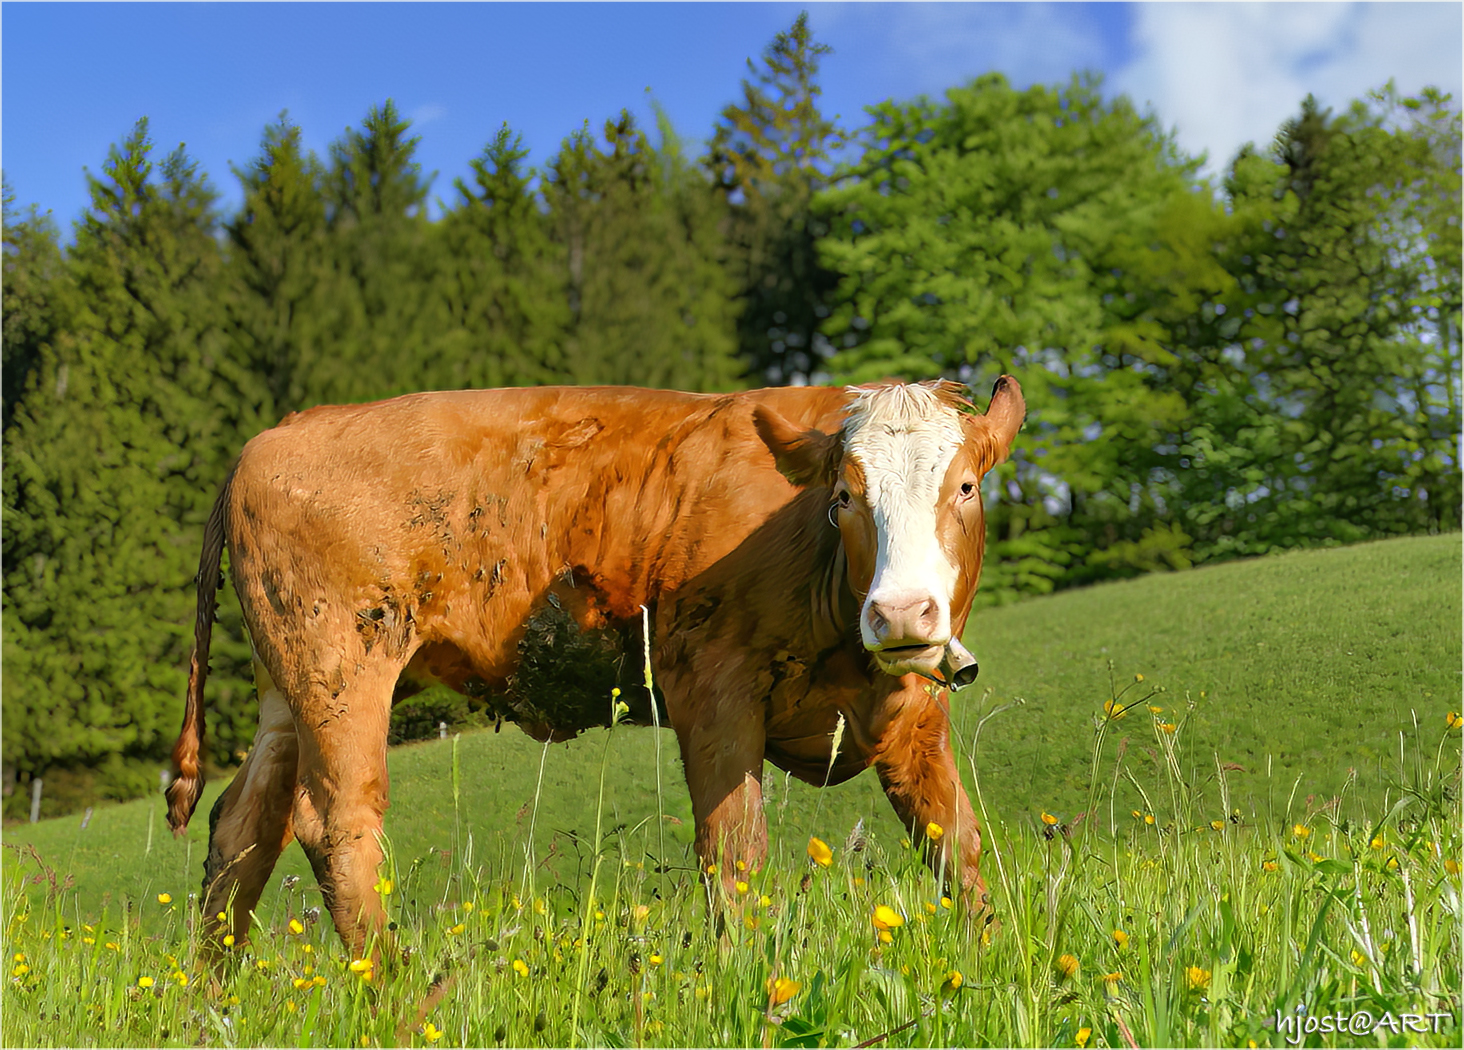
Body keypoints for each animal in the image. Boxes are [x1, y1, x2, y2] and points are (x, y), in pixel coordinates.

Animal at [168, 377, 1018, 960]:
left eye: (966, 486)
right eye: (844, 496)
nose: (902, 613)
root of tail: (282, 432)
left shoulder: (914, 710)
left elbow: (957, 842)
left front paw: (991, 958)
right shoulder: (711, 688)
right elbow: (734, 851)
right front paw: (747, 976)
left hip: (288, 689)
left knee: (243, 830)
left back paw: (213, 1000)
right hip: (341, 670)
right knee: (336, 824)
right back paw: (392, 991)